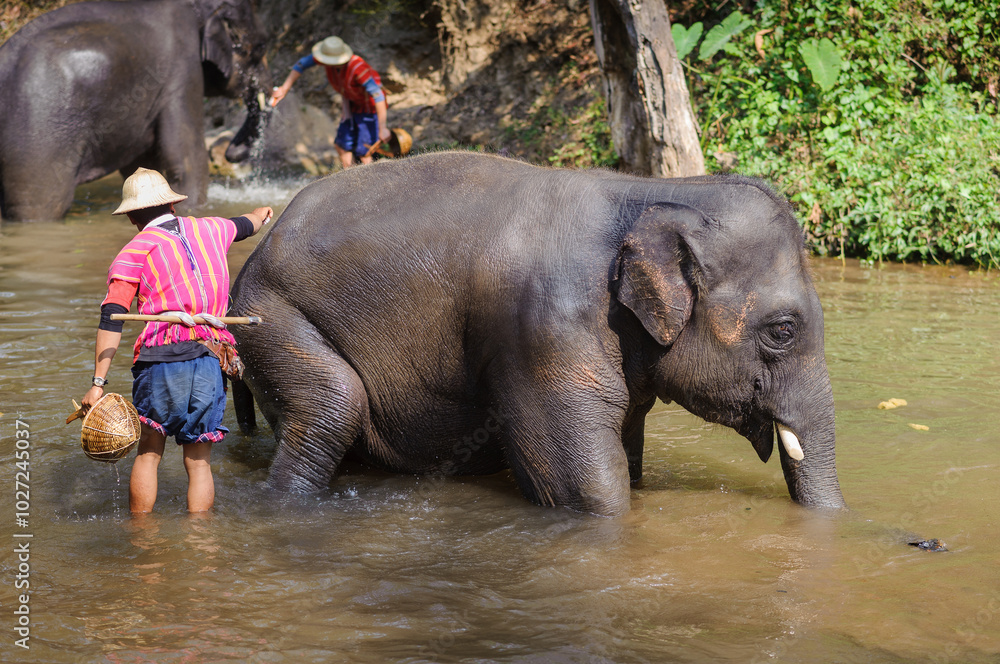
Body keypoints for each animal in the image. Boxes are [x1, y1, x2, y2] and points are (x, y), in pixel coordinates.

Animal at [0, 0, 271, 222]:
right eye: (259, 48)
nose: (230, 153)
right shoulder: (183, 67)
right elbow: (187, 159)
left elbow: (144, 163)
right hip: (39, 135)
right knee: (42, 204)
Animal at [229, 151, 847, 516]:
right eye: (782, 331)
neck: (649, 193)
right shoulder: (543, 335)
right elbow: (585, 490)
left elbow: (628, 453)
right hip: (273, 317)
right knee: (333, 406)